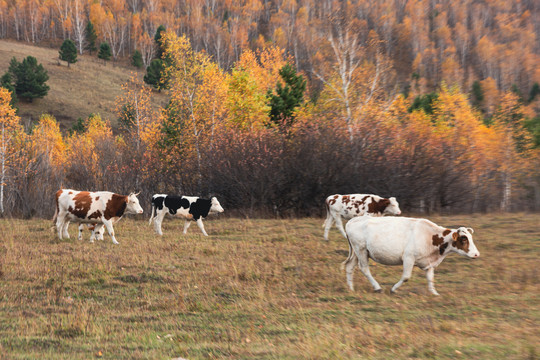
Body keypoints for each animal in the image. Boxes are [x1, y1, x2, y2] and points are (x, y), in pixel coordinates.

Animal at [344, 217, 478, 296]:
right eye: (463, 239)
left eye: (470, 238)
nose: (476, 254)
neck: (431, 236)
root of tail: (352, 220)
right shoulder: (408, 258)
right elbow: (406, 277)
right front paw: (393, 289)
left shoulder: (428, 263)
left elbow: (430, 278)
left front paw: (434, 293)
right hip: (361, 250)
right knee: (365, 268)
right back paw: (377, 287)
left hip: (356, 252)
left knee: (349, 267)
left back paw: (351, 289)